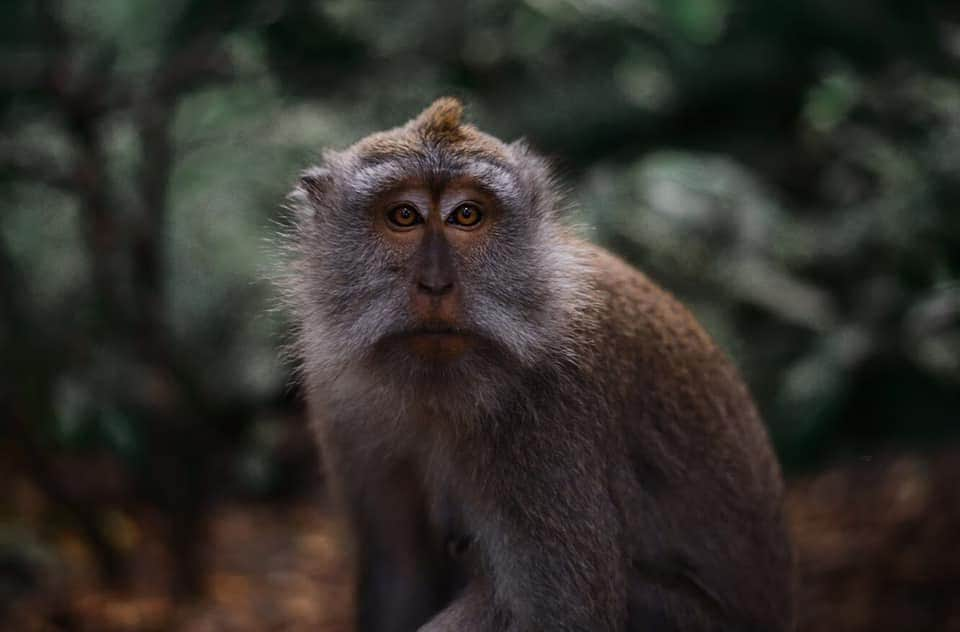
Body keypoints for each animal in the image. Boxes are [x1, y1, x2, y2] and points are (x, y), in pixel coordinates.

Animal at [276, 99, 788, 632]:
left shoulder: (548, 414)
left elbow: (564, 611)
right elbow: (398, 569)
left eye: (466, 215)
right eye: (403, 215)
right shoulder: (341, 402)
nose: (436, 284)